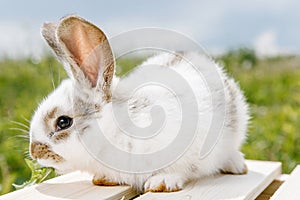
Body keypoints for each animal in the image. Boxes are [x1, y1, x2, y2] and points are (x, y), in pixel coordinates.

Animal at [28, 14, 248, 193]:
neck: (116, 130)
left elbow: (179, 169)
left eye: (63, 122)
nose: (34, 152)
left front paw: (161, 183)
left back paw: (237, 166)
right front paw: (104, 179)